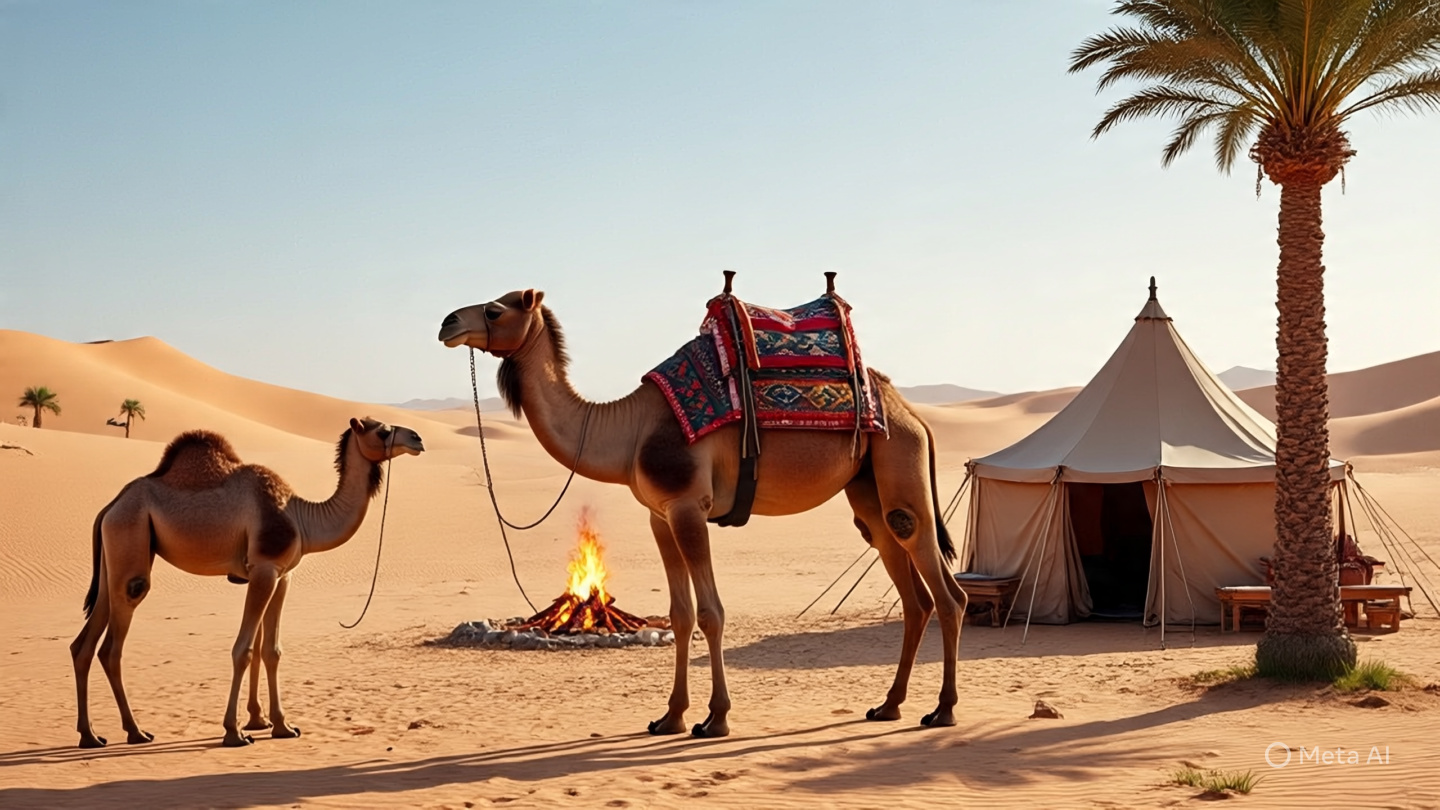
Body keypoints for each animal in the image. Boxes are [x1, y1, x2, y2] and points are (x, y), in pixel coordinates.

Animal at [71, 417, 425, 749]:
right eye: (382, 430)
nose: (417, 438)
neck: (301, 517)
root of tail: (110, 506)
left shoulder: (281, 576)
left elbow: (269, 650)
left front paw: (277, 725)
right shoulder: (264, 569)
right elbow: (244, 650)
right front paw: (235, 731)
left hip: (115, 557)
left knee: (83, 644)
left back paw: (90, 735)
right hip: (130, 537)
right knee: (113, 643)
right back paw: (135, 731)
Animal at [439, 289, 968, 738]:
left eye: (494, 310)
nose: (448, 322)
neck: (629, 430)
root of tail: (911, 413)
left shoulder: (690, 507)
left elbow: (711, 613)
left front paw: (716, 719)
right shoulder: (660, 515)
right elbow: (680, 615)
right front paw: (669, 716)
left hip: (901, 464)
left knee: (946, 592)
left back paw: (942, 710)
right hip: (868, 488)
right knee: (911, 590)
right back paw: (889, 705)